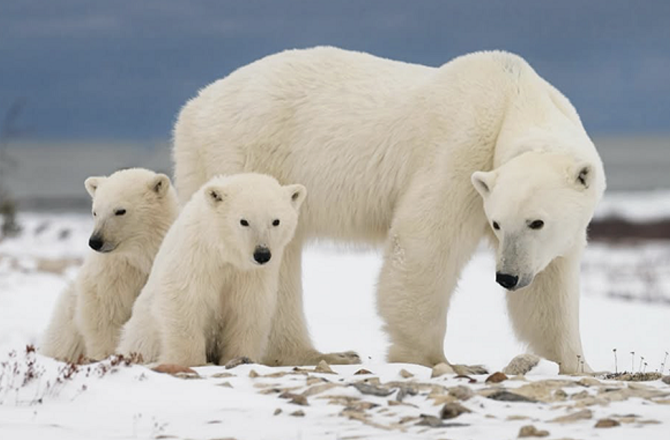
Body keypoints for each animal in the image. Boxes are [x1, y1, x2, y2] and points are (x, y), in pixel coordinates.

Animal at [40, 168, 179, 363]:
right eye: (95, 212)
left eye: (120, 211)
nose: (95, 241)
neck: (140, 258)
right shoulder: (111, 275)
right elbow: (105, 314)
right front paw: (108, 356)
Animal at [117, 173, 306, 367]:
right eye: (243, 221)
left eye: (276, 221)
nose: (262, 253)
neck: (225, 253)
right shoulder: (196, 258)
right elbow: (183, 301)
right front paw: (189, 361)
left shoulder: (252, 275)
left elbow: (248, 310)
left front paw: (240, 357)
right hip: (141, 334)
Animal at [171, 47, 605, 374]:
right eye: (498, 223)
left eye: (536, 222)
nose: (507, 277)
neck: (514, 97)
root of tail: (193, 107)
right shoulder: (460, 150)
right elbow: (423, 244)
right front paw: (441, 360)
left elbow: (550, 289)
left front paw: (579, 363)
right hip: (243, 156)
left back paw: (317, 353)